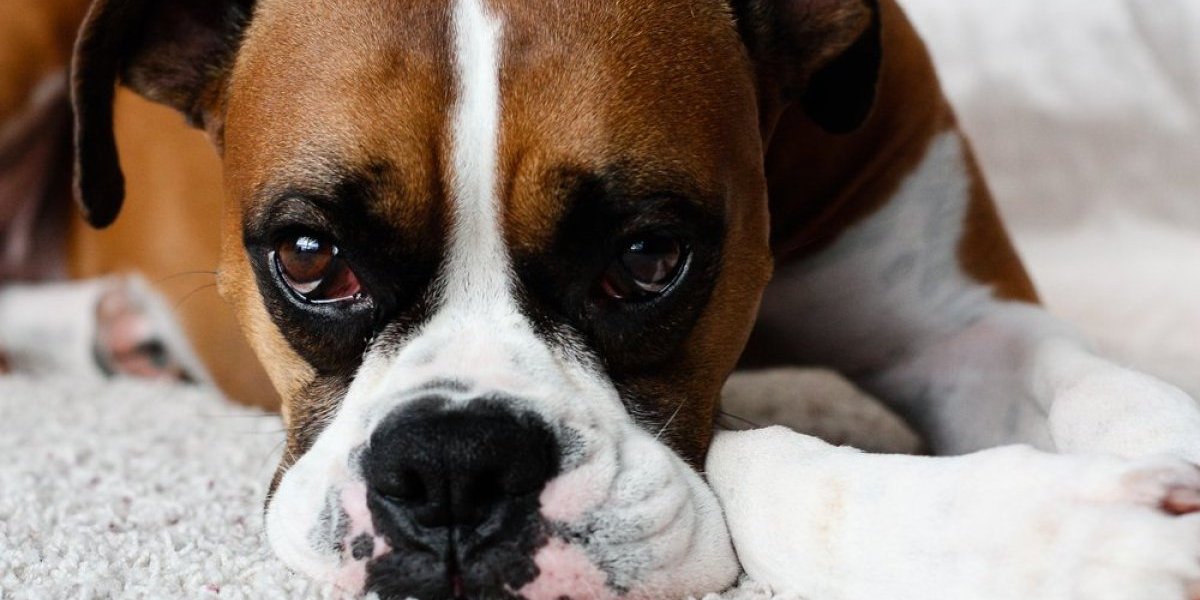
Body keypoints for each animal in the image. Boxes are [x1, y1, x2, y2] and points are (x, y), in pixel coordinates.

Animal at [7, 0, 1200, 597]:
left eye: (648, 255)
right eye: (309, 256)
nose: (454, 465)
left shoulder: (967, 332)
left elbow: (1107, 389)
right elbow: (757, 463)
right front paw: (1085, 535)